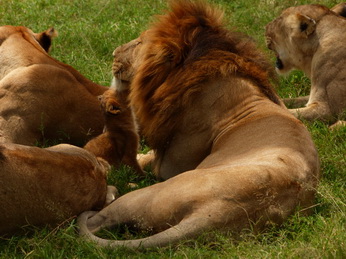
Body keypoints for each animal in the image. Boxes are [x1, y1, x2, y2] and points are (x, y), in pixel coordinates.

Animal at [77, 1, 318, 251]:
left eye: (139, 43)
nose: (114, 52)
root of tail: (217, 214)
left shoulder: (169, 165)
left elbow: (146, 158)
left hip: (151, 194)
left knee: (95, 220)